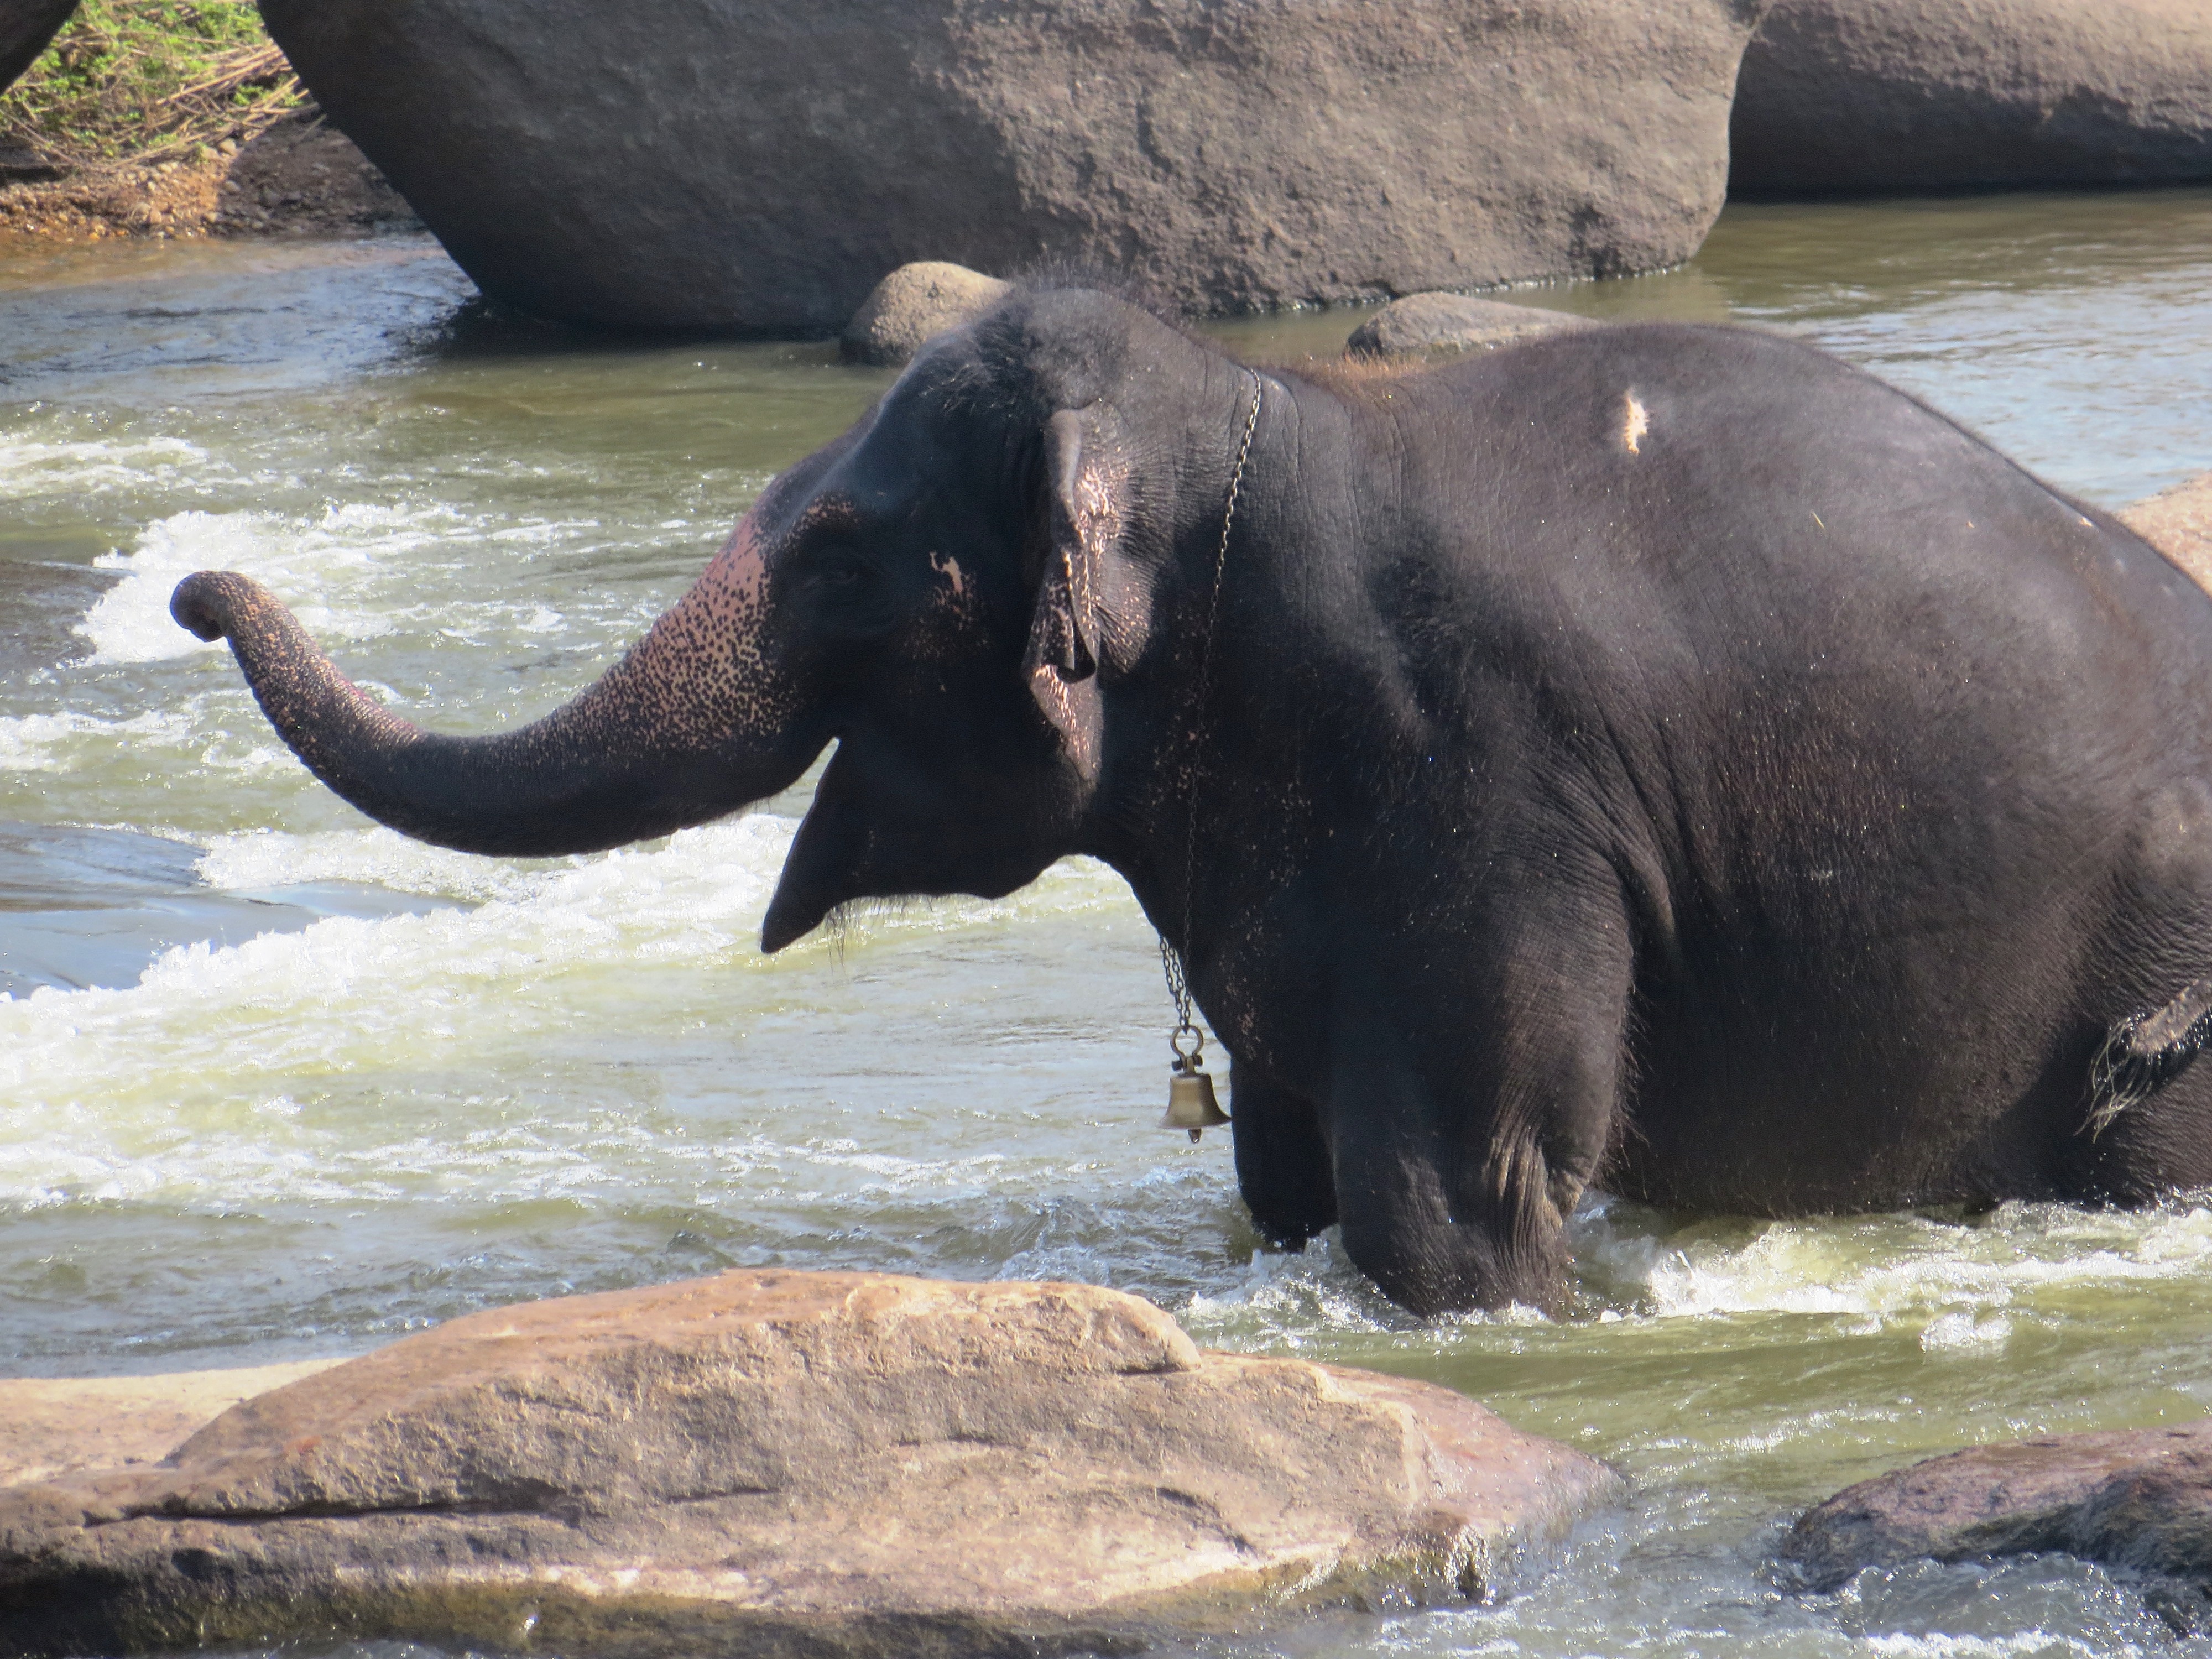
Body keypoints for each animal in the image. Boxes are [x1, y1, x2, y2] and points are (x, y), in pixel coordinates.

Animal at [171, 282, 2212, 1316]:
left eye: (838, 555)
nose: (193, 588)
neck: (1255, 422)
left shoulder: (1490, 790)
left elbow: (1452, 1206)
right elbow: (1283, 1178)